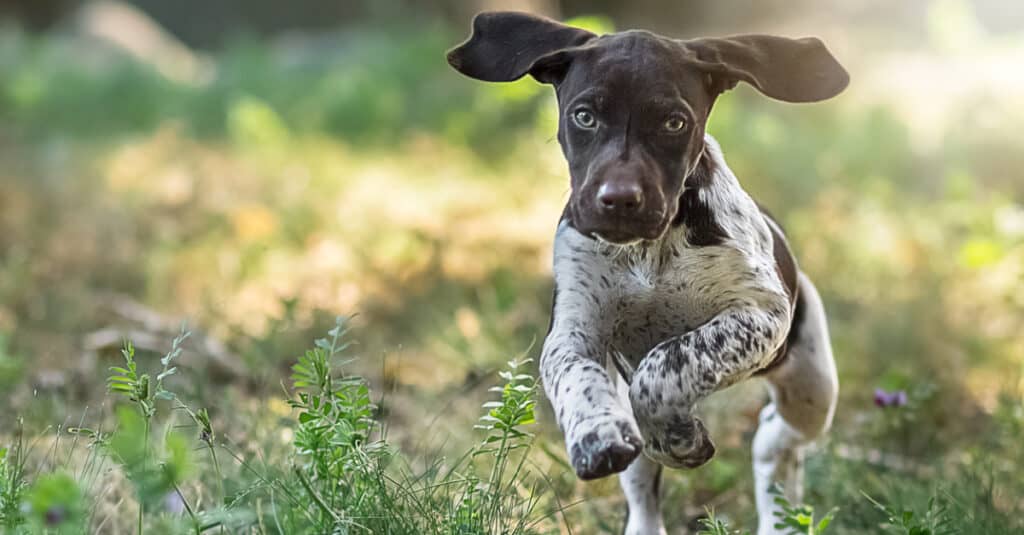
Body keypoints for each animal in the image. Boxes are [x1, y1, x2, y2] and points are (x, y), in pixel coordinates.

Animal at [448, 12, 847, 532]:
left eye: (674, 123)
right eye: (584, 116)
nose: (619, 200)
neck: (647, 252)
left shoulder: (760, 313)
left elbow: (665, 365)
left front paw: (677, 438)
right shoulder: (573, 329)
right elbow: (577, 376)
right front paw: (598, 435)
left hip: (811, 383)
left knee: (777, 441)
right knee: (643, 493)